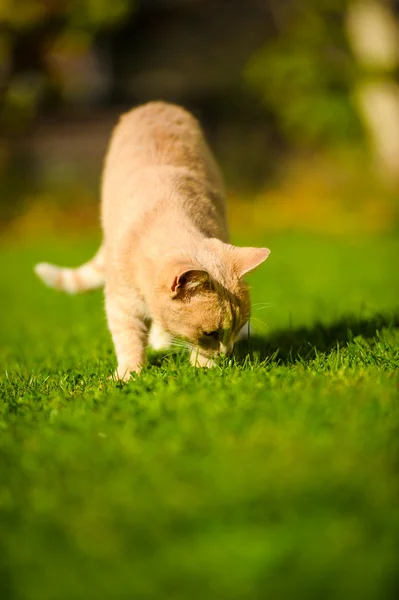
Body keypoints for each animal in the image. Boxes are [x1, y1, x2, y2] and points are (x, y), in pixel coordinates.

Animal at [35, 100, 272, 378]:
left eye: (236, 326)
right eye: (211, 333)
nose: (228, 353)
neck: (166, 210)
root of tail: (156, 104)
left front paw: (204, 365)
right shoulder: (121, 301)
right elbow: (128, 339)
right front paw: (128, 374)